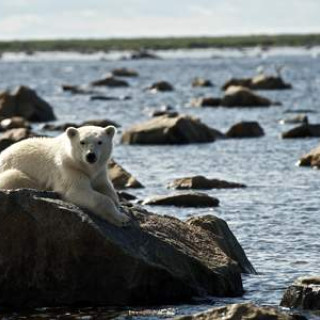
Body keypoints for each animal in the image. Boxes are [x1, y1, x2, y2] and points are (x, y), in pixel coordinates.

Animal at [0, 126, 129, 226]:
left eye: (100, 142)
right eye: (82, 142)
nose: (91, 156)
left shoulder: (100, 172)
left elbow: (106, 187)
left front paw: (118, 205)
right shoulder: (68, 170)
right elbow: (78, 191)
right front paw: (121, 218)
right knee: (15, 176)